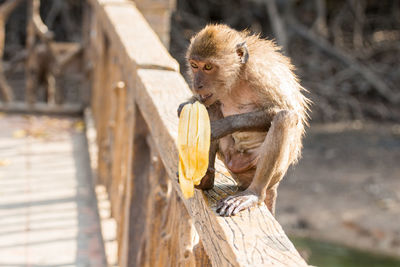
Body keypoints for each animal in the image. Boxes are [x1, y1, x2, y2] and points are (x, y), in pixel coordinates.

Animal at [177, 24, 310, 218]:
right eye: (194, 65)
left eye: (208, 67)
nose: (197, 84)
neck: (236, 78)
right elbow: (204, 103)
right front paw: (187, 103)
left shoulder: (260, 73)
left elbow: (287, 110)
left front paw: (220, 127)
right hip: (231, 161)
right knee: (212, 106)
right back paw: (206, 179)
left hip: (263, 170)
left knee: (284, 118)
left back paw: (253, 193)